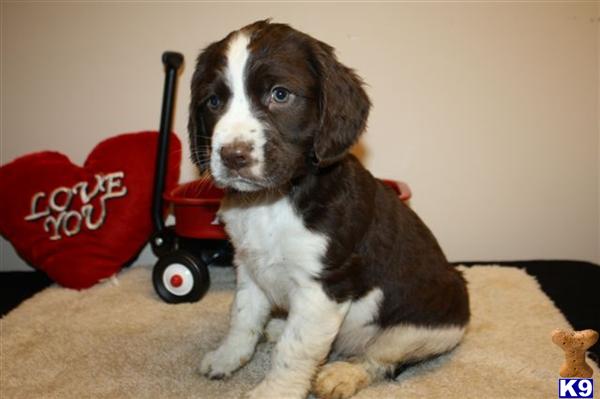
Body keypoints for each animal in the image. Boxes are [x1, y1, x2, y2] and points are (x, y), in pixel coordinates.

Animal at [188, 21, 468, 399]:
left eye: (280, 94)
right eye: (214, 101)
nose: (232, 156)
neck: (273, 200)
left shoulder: (324, 285)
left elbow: (296, 349)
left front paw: (274, 391)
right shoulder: (248, 265)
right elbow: (242, 318)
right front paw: (227, 358)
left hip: (423, 328)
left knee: (381, 357)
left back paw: (343, 374)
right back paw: (278, 328)